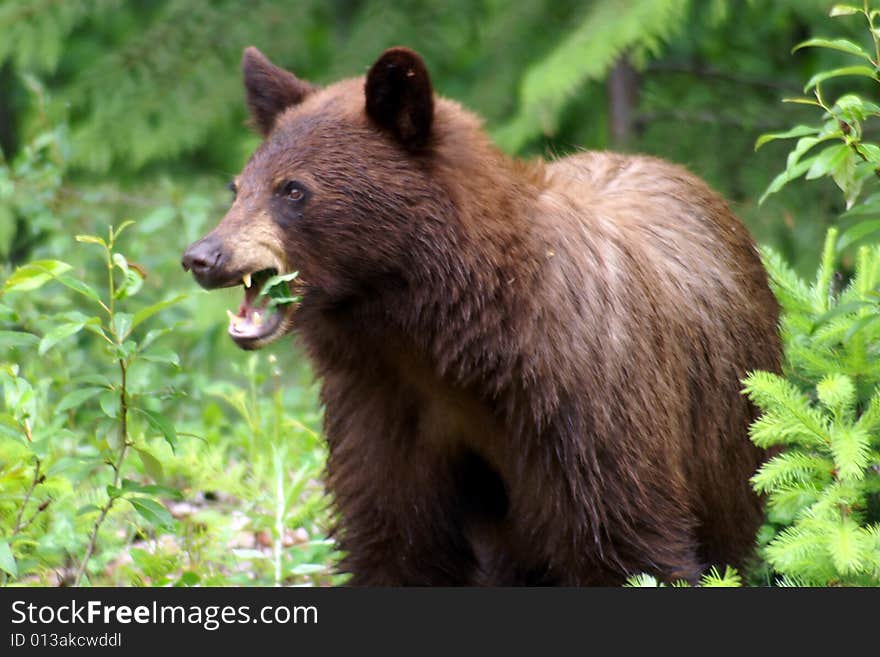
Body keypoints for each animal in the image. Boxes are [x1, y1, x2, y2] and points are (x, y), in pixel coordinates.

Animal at [182, 46, 780, 584]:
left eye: (293, 189)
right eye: (238, 187)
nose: (202, 257)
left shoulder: (589, 406)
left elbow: (624, 540)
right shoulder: (382, 409)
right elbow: (396, 541)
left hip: (728, 431)